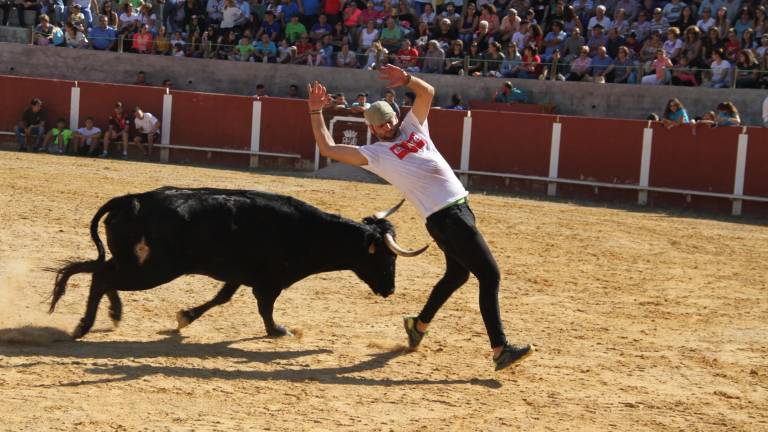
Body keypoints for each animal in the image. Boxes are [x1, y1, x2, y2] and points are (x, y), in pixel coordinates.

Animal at [51, 187, 428, 340]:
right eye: (387, 255)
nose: (390, 289)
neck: (307, 229)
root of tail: (131, 200)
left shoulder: (238, 274)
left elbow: (222, 297)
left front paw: (185, 317)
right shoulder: (270, 281)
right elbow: (265, 307)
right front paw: (279, 331)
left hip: (133, 263)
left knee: (97, 271)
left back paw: (111, 314)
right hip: (151, 271)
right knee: (103, 277)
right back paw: (84, 326)